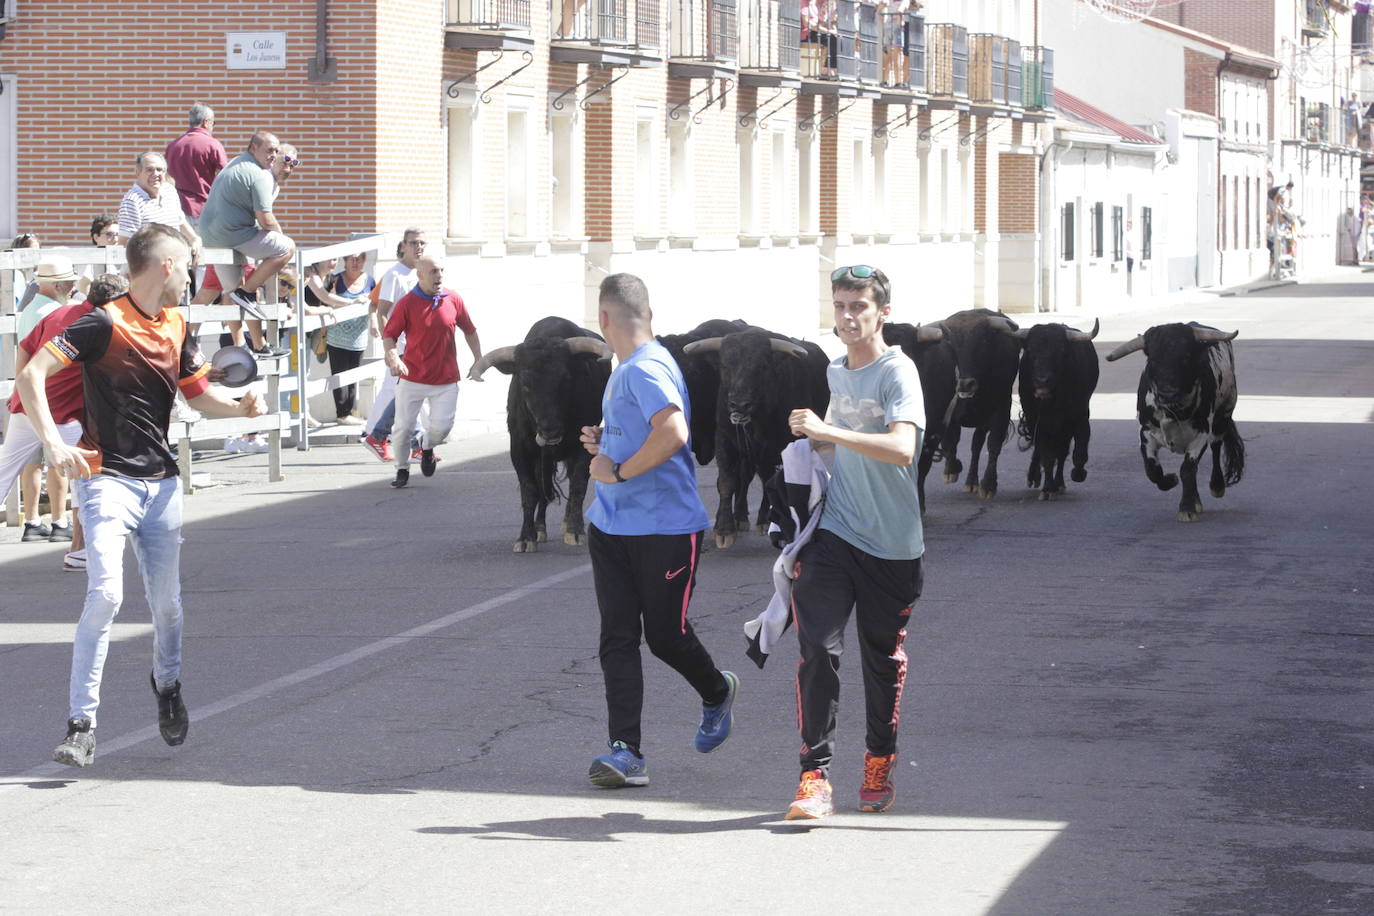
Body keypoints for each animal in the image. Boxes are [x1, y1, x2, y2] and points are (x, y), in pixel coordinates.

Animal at [469, 315, 610, 554]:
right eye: (525, 384)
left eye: (565, 379)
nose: (549, 430)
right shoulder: (519, 449)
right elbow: (530, 491)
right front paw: (526, 537)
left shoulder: (584, 445)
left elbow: (578, 485)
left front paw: (575, 531)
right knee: (542, 490)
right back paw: (540, 528)